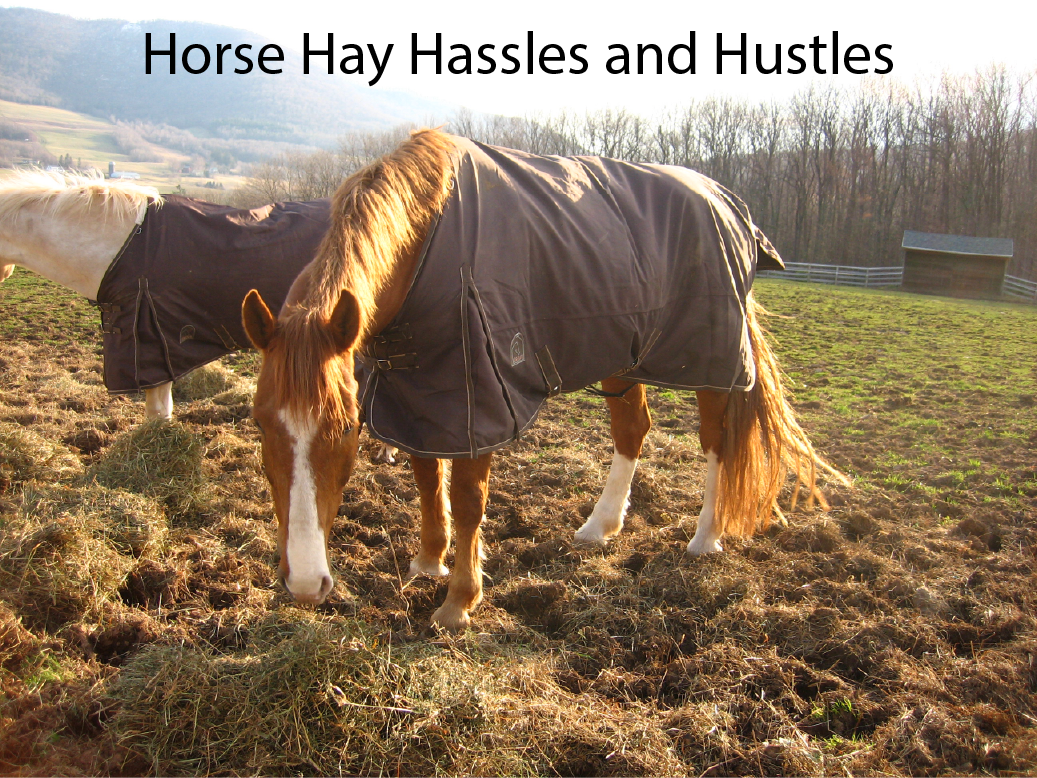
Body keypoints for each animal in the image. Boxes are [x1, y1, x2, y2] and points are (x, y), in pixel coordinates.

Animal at [241, 129, 848, 631]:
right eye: (260, 425)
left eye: (345, 430)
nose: (305, 583)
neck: (427, 239)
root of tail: (724, 199)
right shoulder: (418, 392)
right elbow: (425, 477)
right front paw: (427, 562)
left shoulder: (480, 396)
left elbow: (468, 499)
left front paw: (459, 600)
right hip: (623, 356)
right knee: (632, 431)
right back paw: (600, 527)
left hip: (712, 361)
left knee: (717, 442)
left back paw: (705, 538)